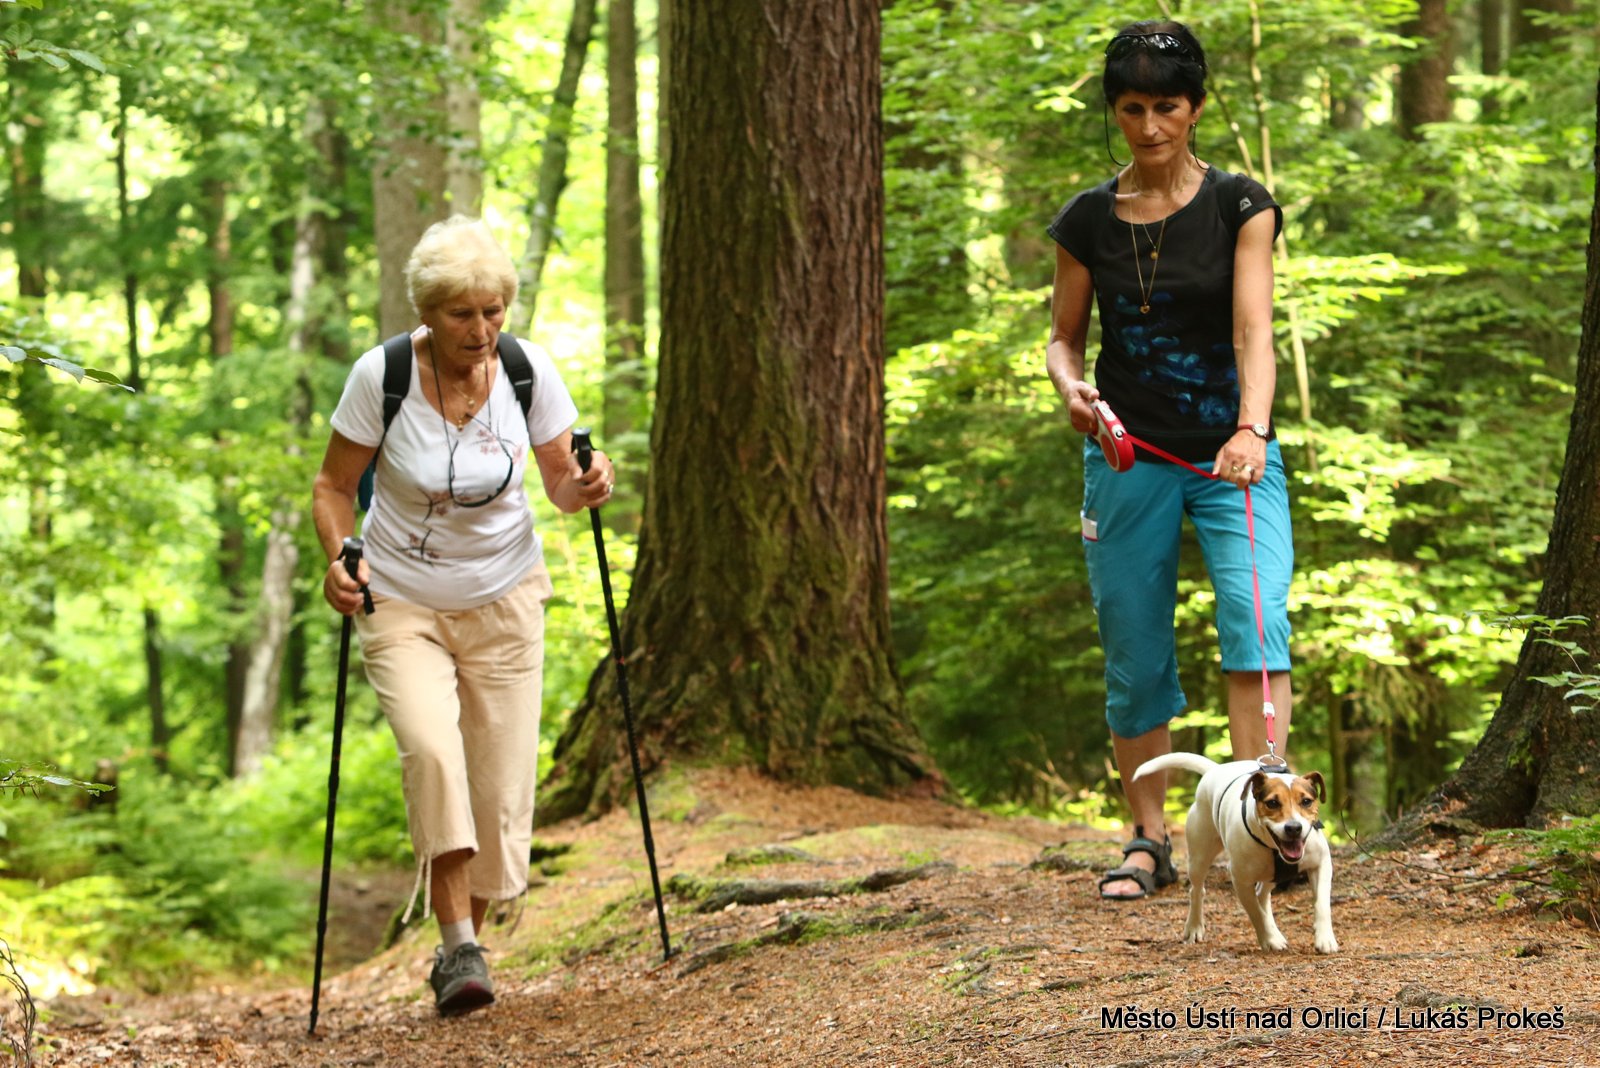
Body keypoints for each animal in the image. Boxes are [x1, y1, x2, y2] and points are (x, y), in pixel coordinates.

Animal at [1133, 753, 1337, 954]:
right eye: (1272, 803)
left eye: (1306, 801)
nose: (1294, 828)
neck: (1273, 848)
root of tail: (1215, 769)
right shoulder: (1240, 880)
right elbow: (1255, 911)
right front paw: (1270, 939)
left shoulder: (1321, 864)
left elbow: (1322, 903)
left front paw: (1325, 939)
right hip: (1199, 857)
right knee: (1197, 890)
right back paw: (1194, 927)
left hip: (1269, 874)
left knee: (1262, 895)